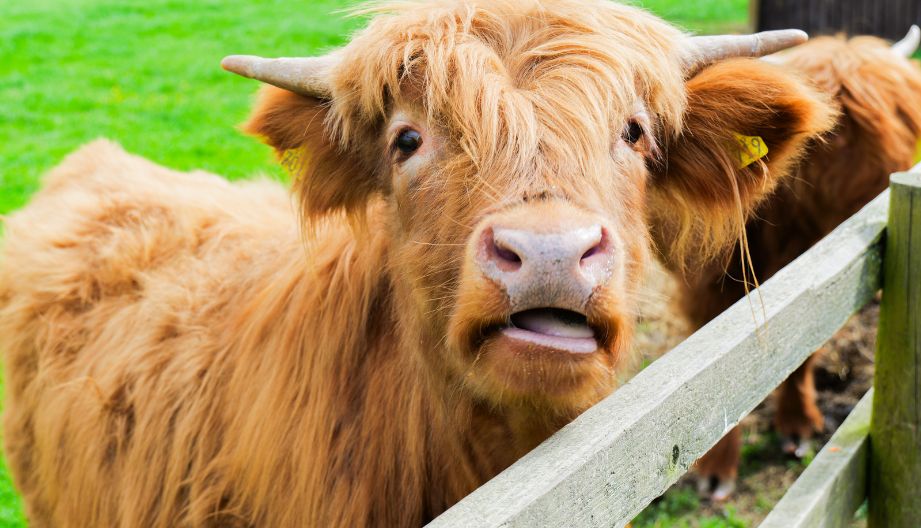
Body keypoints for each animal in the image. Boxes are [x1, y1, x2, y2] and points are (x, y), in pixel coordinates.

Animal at [688, 27, 921, 501]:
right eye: (833, 138)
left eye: (906, 133)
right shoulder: (709, 285)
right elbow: (714, 378)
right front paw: (716, 470)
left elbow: (802, 347)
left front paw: (796, 427)